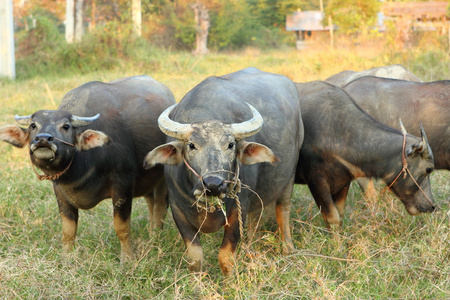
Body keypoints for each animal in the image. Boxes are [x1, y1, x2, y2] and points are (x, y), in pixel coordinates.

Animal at [0, 75, 176, 262]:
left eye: (66, 126)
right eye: (33, 125)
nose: (43, 139)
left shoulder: (123, 183)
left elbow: (121, 227)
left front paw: (127, 258)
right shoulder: (60, 190)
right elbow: (68, 230)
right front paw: (66, 258)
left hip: (162, 177)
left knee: (160, 207)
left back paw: (156, 237)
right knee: (151, 202)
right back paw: (151, 233)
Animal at [144, 68, 304, 276]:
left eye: (230, 145)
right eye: (191, 145)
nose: (213, 183)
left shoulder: (238, 207)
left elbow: (225, 257)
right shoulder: (178, 210)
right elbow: (195, 257)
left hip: (289, 178)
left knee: (282, 211)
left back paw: (288, 248)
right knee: (255, 218)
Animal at [294, 81, 434, 229]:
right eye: (429, 169)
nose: (431, 206)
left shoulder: (344, 181)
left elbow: (340, 216)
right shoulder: (316, 181)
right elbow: (333, 219)